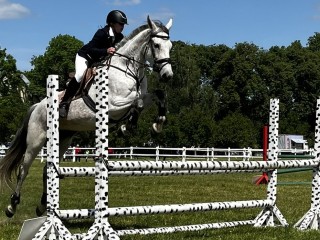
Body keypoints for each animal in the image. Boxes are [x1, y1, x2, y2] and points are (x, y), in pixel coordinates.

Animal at [0, 15, 174, 218]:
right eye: (156, 45)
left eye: (170, 45)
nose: (167, 75)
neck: (128, 69)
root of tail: (37, 105)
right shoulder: (112, 105)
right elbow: (135, 103)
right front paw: (127, 126)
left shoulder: (141, 97)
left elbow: (157, 96)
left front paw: (157, 124)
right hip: (37, 139)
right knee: (23, 169)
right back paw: (12, 206)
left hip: (63, 139)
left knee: (47, 169)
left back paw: (43, 206)